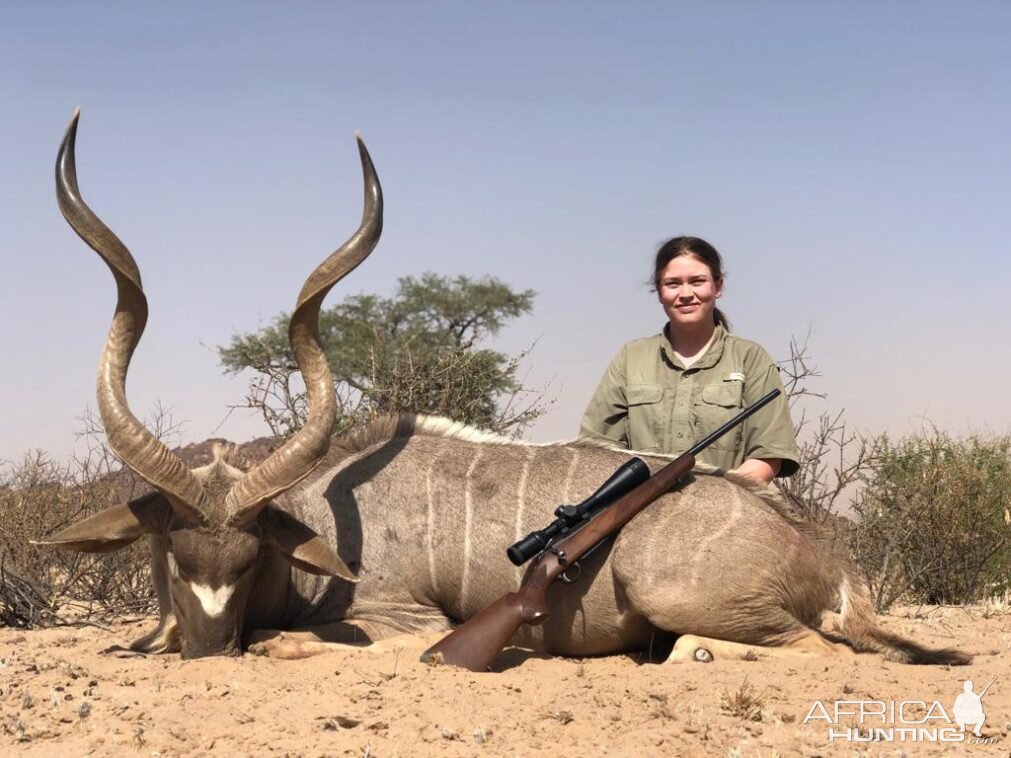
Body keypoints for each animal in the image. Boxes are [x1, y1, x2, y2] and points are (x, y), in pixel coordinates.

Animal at [41, 112, 970, 662]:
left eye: (251, 554)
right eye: (172, 552)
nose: (207, 648)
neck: (322, 517)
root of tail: (828, 555)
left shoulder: (402, 623)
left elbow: (292, 641)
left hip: (684, 595)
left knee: (799, 649)